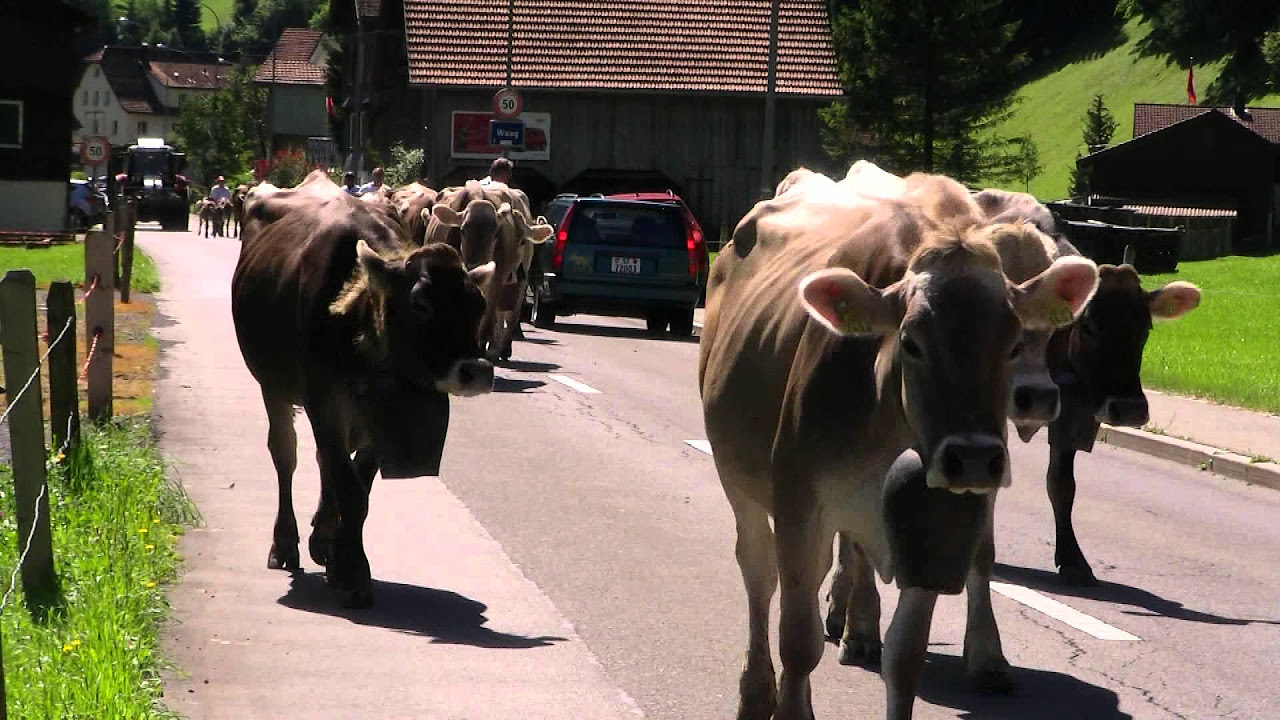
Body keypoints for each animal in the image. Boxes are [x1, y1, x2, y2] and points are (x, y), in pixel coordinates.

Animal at [230, 169, 494, 604]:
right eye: (420, 304)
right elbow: (348, 485)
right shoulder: (323, 398)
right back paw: (285, 542)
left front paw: (339, 555)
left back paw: (322, 538)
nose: (477, 370)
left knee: (324, 461)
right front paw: (353, 571)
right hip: (274, 385)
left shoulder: (377, 415)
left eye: (479, 305)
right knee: (286, 453)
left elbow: (359, 484)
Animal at [701, 169, 1100, 717]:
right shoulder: (799, 506)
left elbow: (906, 658)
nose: (972, 458)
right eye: (911, 341)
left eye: (1014, 342)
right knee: (760, 576)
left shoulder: (931, 531)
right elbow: (799, 644)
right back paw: (759, 692)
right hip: (738, 481)